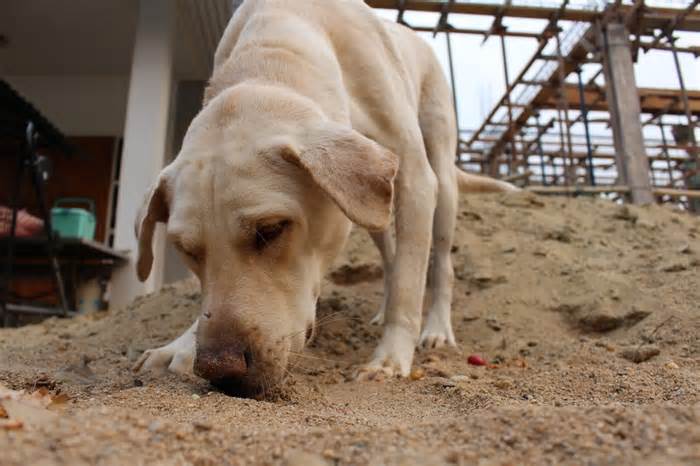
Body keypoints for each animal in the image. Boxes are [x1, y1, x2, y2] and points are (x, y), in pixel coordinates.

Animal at [133, 0, 516, 396]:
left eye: (271, 229)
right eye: (186, 250)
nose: (219, 369)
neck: (275, 50)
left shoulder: (415, 179)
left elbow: (409, 285)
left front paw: (390, 358)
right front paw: (179, 345)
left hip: (439, 174)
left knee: (439, 262)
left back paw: (437, 328)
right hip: (371, 205)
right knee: (391, 253)